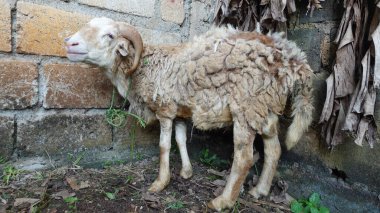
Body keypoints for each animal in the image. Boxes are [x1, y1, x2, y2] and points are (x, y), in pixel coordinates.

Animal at [65, 17, 314, 211]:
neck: (143, 66)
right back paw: (259, 190)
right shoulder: (180, 112)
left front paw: (160, 182)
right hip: (265, 108)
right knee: (274, 150)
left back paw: (222, 201)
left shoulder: (165, 108)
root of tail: (293, 60)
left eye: (109, 35)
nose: (69, 43)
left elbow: (164, 145)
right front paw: (186, 172)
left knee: (244, 158)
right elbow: (181, 139)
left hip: (246, 107)